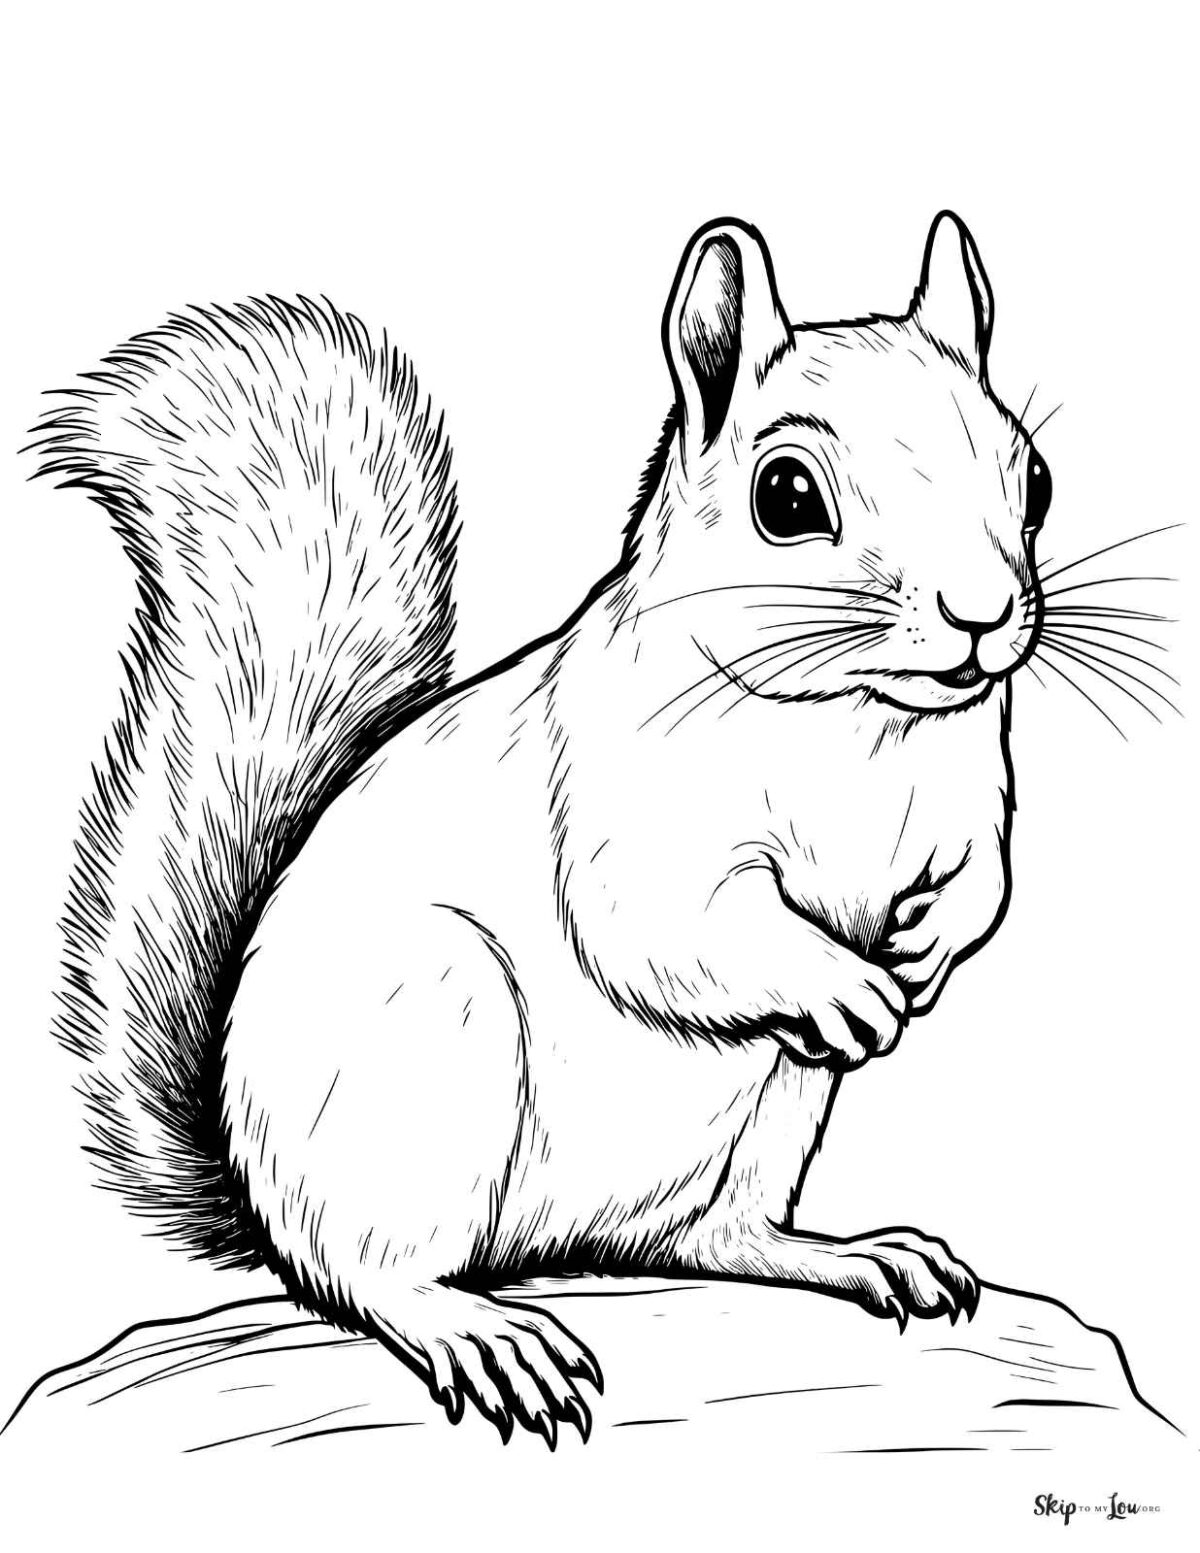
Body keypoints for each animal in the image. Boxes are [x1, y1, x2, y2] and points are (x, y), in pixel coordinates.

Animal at [30, 212, 1052, 1448]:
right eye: (788, 496)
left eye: (1033, 476)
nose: (983, 617)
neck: (859, 724)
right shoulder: (632, 814)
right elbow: (670, 928)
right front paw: (846, 979)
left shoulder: (968, 803)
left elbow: (984, 884)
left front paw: (927, 948)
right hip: (427, 1037)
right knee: (366, 1273)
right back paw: (475, 1330)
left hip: (774, 1108)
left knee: (708, 1236)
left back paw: (853, 1256)